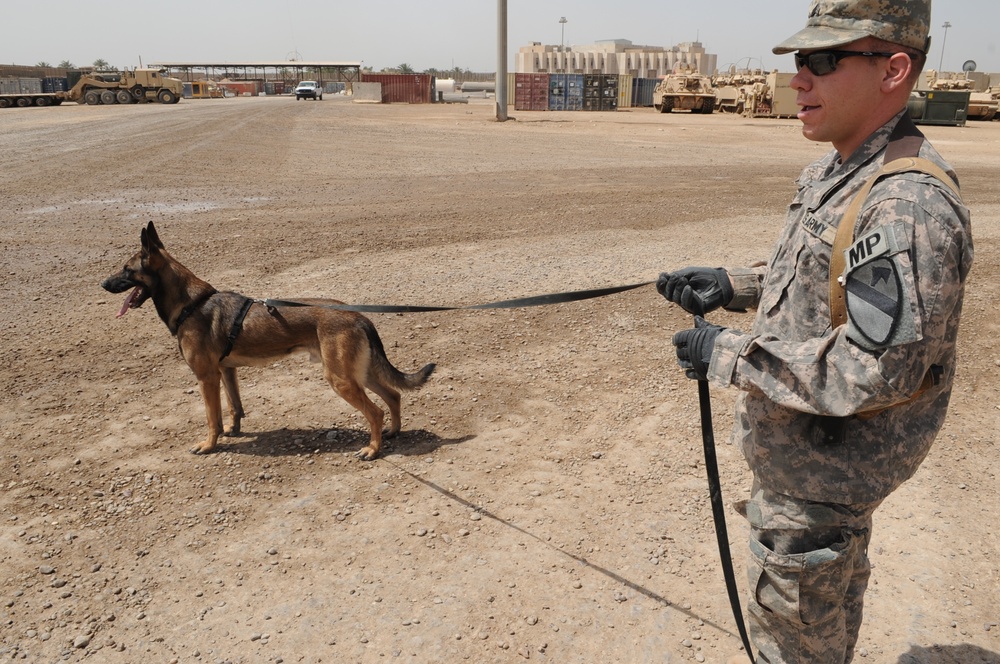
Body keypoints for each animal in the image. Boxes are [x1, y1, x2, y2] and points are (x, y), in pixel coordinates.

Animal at [103, 220, 436, 460]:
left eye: (127, 269)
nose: (103, 283)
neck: (192, 304)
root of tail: (359, 316)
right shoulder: (226, 371)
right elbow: (233, 407)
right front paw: (232, 431)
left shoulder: (206, 377)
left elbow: (212, 417)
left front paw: (209, 444)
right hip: (359, 373)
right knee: (393, 396)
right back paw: (393, 433)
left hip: (341, 379)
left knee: (376, 410)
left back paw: (373, 449)